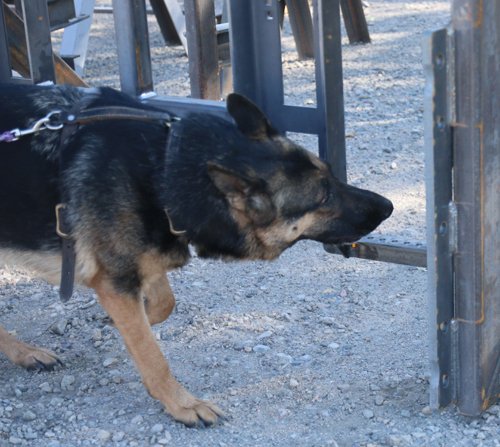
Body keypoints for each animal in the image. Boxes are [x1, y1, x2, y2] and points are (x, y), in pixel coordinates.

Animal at [0, 83, 393, 426]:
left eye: (331, 174)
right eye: (322, 196)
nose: (388, 206)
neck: (163, 167)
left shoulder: (143, 260)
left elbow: (162, 304)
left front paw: (119, 323)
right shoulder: (116, 281)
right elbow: (152, 354)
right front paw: (182, 404)